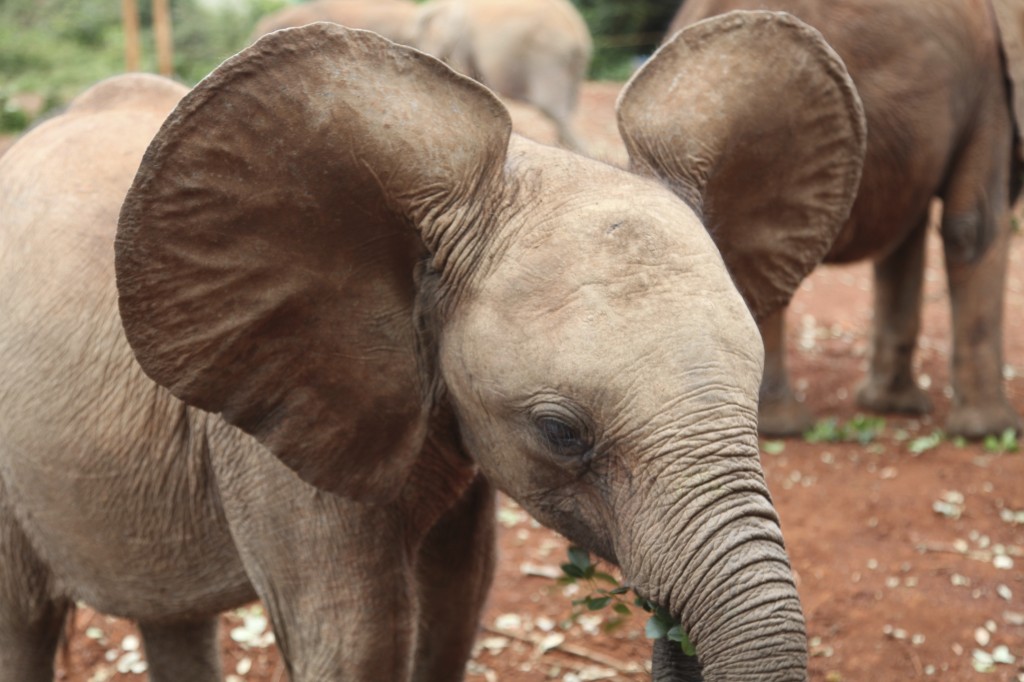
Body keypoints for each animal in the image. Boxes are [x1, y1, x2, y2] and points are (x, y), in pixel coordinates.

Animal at [0, 14, 864, 679]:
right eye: (561, 431)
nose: (666, 627)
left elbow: (456, 610)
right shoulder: (274, 434)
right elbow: (358, 641)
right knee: (23, 625)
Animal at [667, 0, 1024, 436]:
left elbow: (904, 239)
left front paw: (893, 407)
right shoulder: (993, 83)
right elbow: (972, 228)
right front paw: (994, 432)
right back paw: (782, 428)